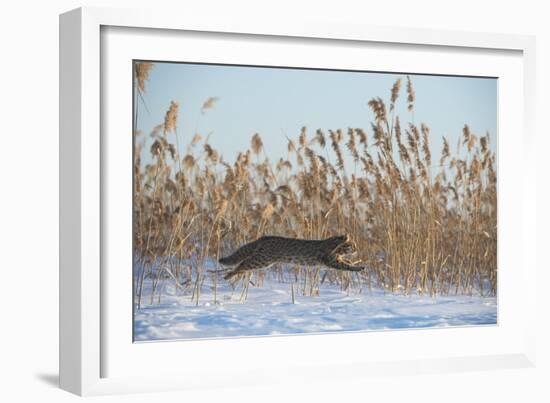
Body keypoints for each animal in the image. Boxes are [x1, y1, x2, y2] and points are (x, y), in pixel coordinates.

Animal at [220, 237, 366, 280]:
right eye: (352, 245)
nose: (357, 249)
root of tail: (263, 238)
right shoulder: (330, 260)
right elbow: (347, 266)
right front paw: (358, 267)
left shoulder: (335, 259)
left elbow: (347, 262)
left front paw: (358, 262)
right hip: (261, 260)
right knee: (242, 264)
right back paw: (229, 275)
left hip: (261, 260)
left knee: (243, 264)